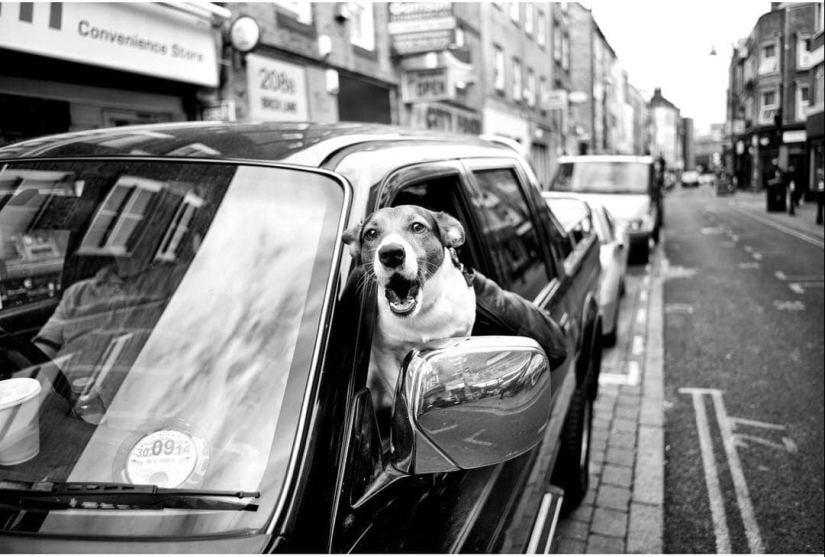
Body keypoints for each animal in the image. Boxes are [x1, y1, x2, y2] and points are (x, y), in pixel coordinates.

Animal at [342, 206, 476, 410]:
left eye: (417, 226)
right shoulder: (384, 355)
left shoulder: (461, 335)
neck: (422, 312)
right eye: (371, 233)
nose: (391, 253)